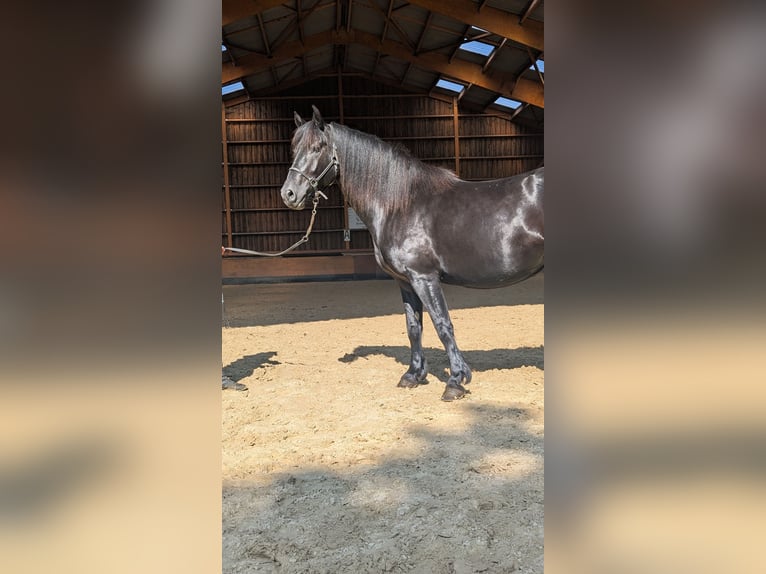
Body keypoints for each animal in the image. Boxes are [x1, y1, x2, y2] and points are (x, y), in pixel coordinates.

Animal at [281, 106, 543, 401]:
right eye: (294, 148)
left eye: (317, 147)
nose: (289, 194)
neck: (401, 205)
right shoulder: (405, 281)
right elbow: (414, 327)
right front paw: (413, 375)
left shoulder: (424, 277)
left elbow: (443, 324)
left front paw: (455, 381)